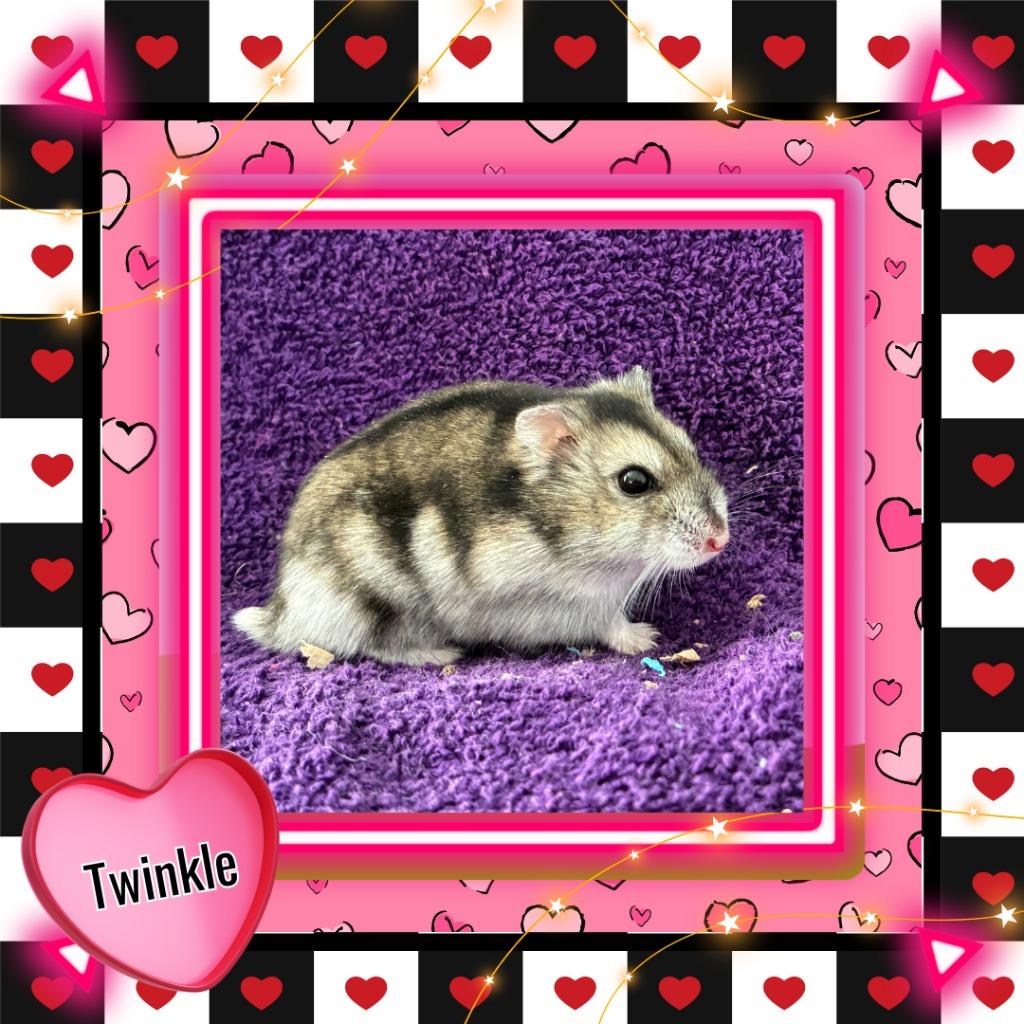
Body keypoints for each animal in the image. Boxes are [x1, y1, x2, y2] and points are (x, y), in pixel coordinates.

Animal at [234, 367, 729, 667]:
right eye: (633, 482)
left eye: (690, 448)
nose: (720, 540)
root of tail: (281, 613)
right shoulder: (553, 604)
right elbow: (607, 624)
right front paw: (647, 637)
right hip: (369, 603)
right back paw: (442, 655)